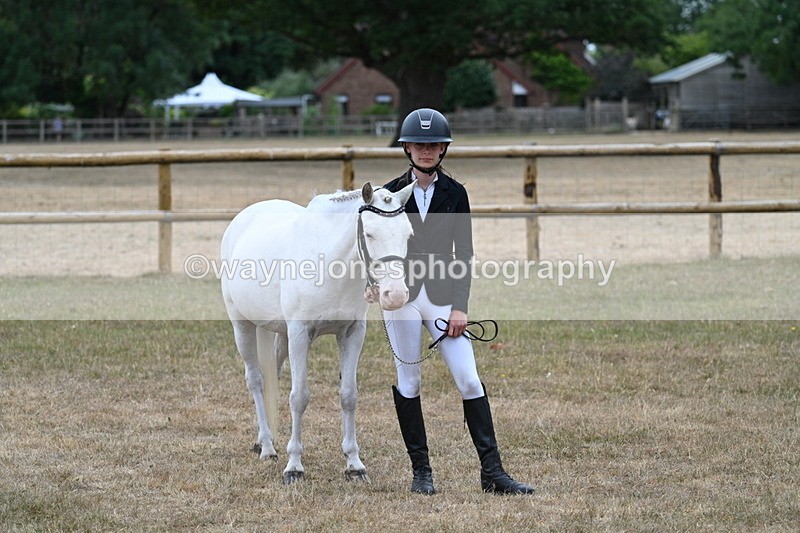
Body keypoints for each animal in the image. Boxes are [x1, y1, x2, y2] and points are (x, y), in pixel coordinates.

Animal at [220, 182, 415, 484]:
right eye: (369, 233)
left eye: (408, 233)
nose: (395, 295)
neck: (329, 263)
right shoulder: (300, 335)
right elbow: (299, 398)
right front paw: (294, 467)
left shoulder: (352, 333)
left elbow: (349, 396)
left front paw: (354, 464)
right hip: (243, 326)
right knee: (255, 380)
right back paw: (267, 447)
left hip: (281, 335)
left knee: (271, 376)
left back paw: (266, 440)